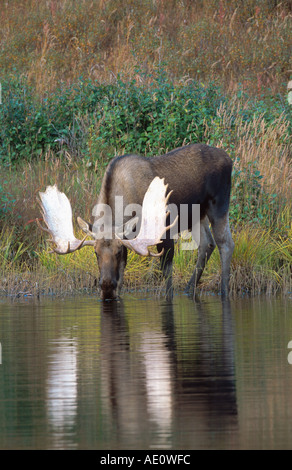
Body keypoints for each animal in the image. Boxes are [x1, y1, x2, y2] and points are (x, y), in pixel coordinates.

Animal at [38, 143, 235, 302]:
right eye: (95, 253)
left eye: (117, 252)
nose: (106, 288)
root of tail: (229, 159)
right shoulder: (128, 238)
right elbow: (122, 273)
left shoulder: (164, 230)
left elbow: (166, 271)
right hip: (197, 214)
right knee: (207, 243)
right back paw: (189, 289)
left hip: (218, 205)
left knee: (225, 243)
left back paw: (224, 291)